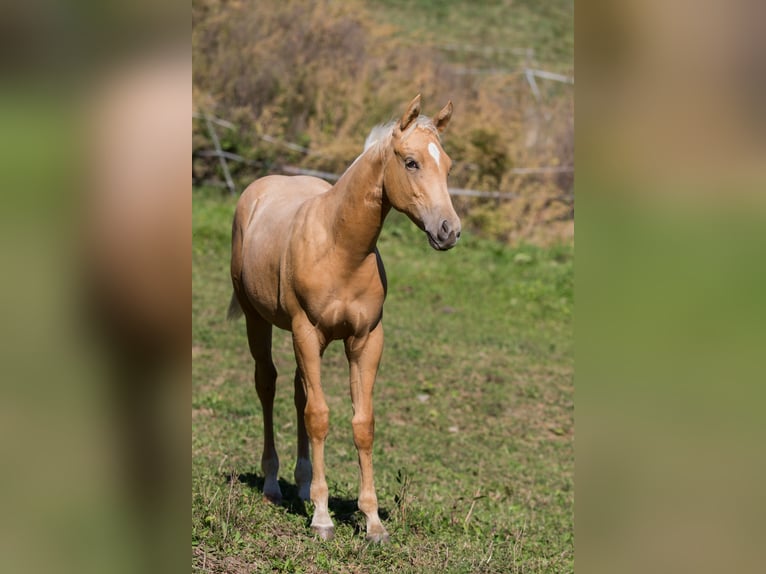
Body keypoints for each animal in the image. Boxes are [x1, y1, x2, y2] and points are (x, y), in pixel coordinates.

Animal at [227, 95, 460, 542]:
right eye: (410, 162)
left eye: (448, 165)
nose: (449, 231)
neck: (340, 248)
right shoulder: (306, 331)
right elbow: (319, 417)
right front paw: (322, 518)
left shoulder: (367, 339)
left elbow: (361, 423)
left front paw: (372, 521)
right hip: (257, 320)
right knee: (268, 385)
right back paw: (273, 485)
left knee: (299, 392)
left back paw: (302, 485)